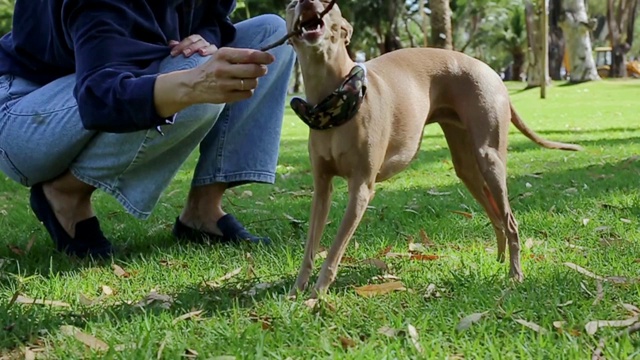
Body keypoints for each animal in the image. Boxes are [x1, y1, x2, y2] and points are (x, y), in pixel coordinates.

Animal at [284, 0, 584, 298]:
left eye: (328, 3)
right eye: (291, 4)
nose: (307, 1)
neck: (336, 101)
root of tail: (491, 72)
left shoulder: (361, 188)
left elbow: (335, 249)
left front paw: (317, 293)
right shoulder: (322, 187)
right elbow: (310, 246)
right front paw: (296, 290)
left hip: (489, 157)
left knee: (510, 221)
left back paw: (515, 274)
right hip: (466, 165)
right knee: (496, 215)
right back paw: (499, 261)